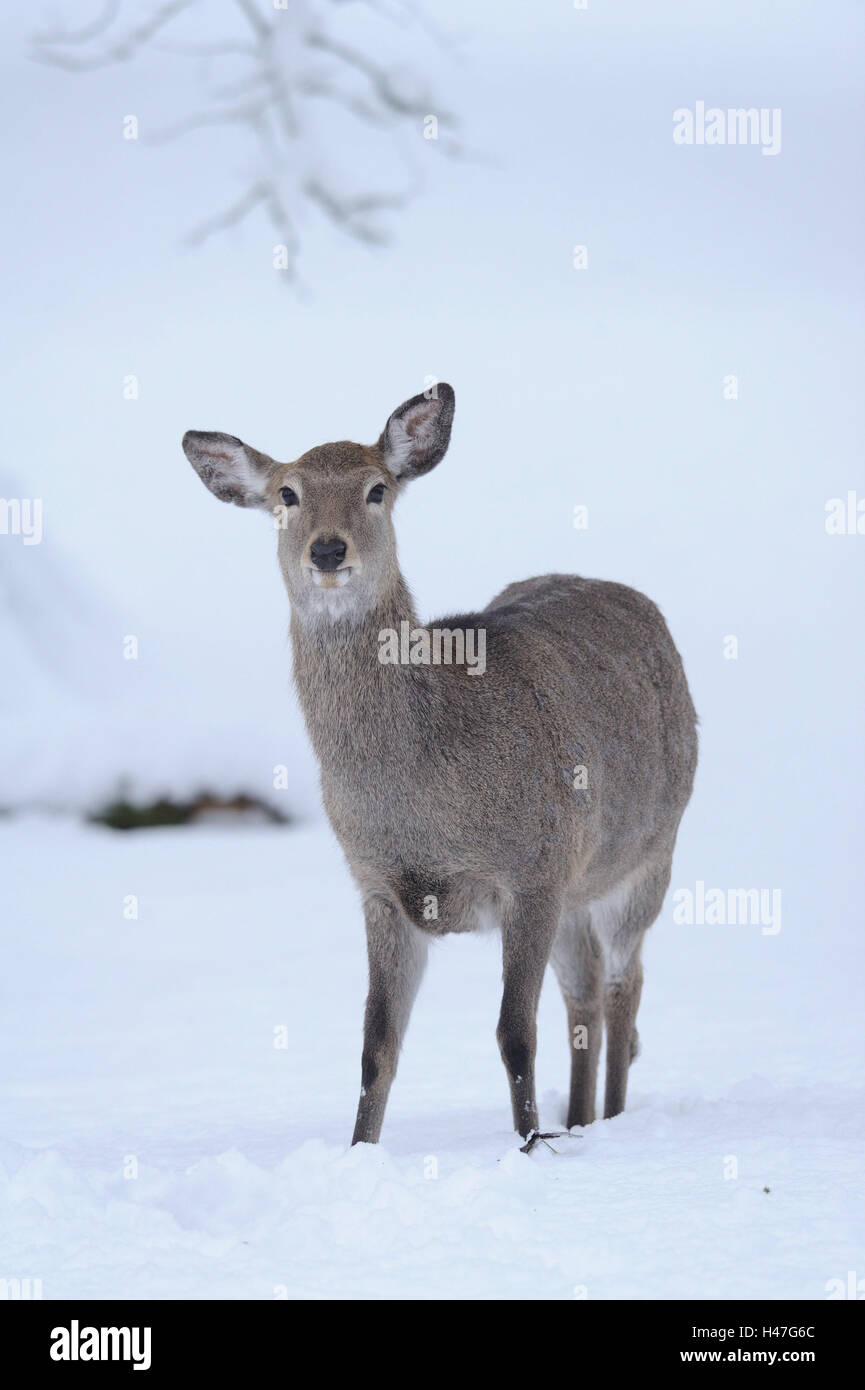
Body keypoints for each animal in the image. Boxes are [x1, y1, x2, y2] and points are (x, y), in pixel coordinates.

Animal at [183, 386, 698, 1145]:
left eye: (377, 489)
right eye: (286, 494)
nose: (327, 549)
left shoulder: (532, 869)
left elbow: (514, 1033)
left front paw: (526, 1145)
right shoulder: (379, 887)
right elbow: (376, 1046)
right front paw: (359, 1150)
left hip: (649, 852)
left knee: (622, 984)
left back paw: (608, 1119)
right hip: (580, 884)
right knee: (584, 996)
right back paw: (579, 1122)